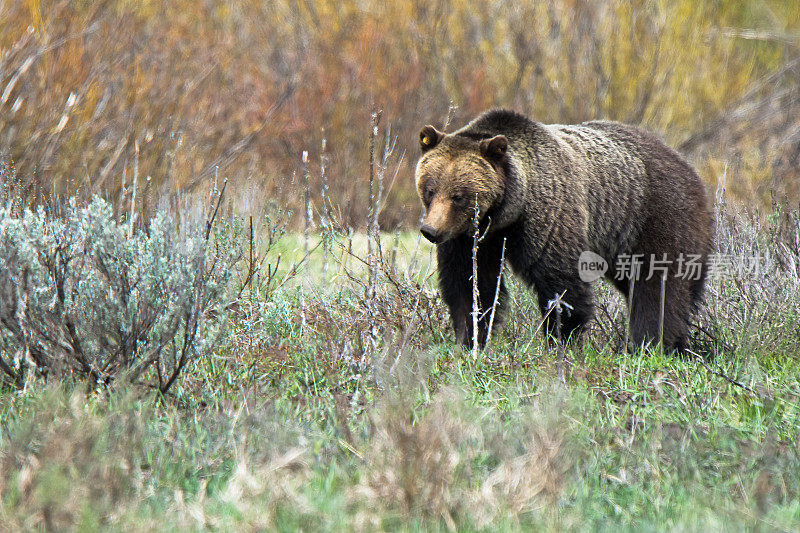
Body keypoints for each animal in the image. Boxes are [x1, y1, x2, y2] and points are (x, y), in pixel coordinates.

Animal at [416, 108, 716, 352]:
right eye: (429, 189)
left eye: (458, 196)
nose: (430, 230)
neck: (506, 214)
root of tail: (686, 164)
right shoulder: (469, 238)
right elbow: (470, 284)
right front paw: (469, 338)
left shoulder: (548, 219)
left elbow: (561, 286)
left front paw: (561, 339)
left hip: (653, 216)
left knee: (658, 286)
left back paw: (655, 344)